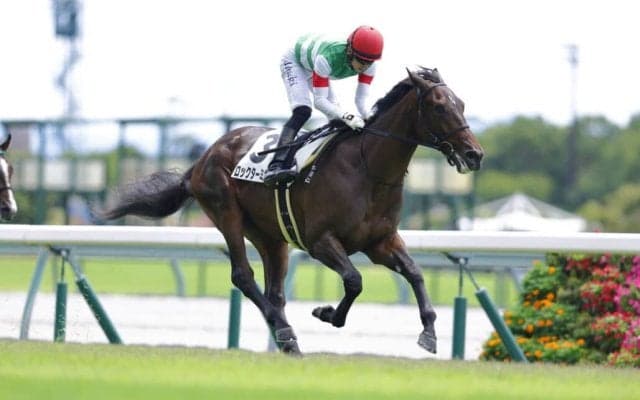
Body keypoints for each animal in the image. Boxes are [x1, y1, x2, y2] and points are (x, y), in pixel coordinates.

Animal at [99, 67, 484, 355]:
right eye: (439, 106)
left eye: (462, 104)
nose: (474, 154)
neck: (367, 169)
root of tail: (204, 156)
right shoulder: (320, 241)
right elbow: (354, 280)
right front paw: (327, 313)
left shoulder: (381, 242)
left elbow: (415, 273)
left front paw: (429, 333)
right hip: (226, 212)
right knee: (243, 276)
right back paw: (284, 331)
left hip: (271, 236)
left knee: (275, 290)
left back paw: (286, 338)